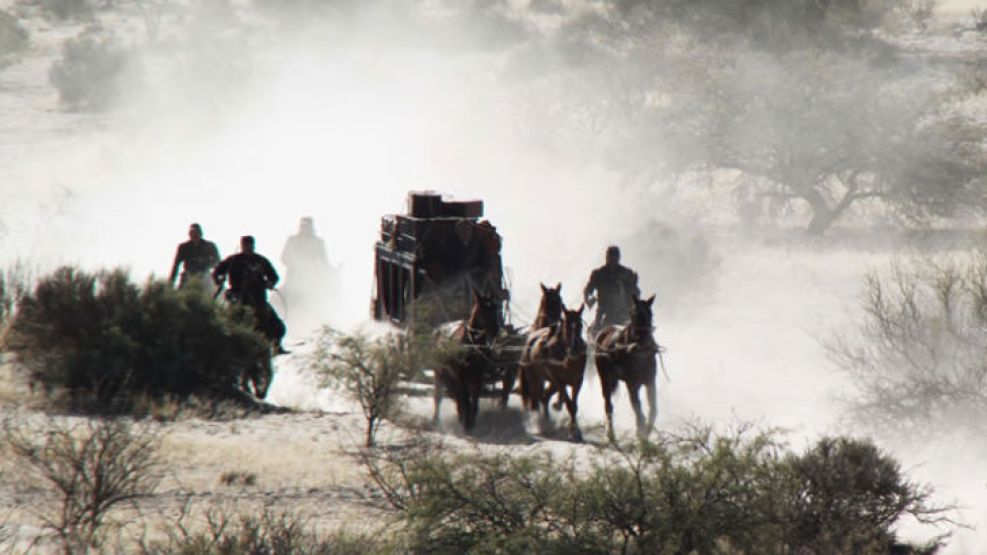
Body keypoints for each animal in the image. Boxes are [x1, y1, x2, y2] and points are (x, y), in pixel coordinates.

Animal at [430, 292, 502, 434]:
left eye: (496, 309)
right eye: (483, 310)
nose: (496, 331)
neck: (471, 344)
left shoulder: (478, 376)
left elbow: (473, 402)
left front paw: (470, 422)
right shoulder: (461, 376)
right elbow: (465, 400)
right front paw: (466, 423)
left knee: (456, 396)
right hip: (440, 372)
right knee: (439, 397)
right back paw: (436, 419)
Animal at [516, 302, 588, 440]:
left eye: (580, 325)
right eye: (566, 325)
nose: (576, 349)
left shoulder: (577, 380)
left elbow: (574, 405)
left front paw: (576, 431)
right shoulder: (559, 380)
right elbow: (569, 404)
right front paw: (573, 432)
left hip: (553, 382)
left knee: (544, 397)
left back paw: (547, 421)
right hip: (535, 377)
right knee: (535, 399)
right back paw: (541, 424)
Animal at [592, 296, 660, 444]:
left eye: (650, 314)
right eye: (632, 314)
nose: (641, 342)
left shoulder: (650, 382)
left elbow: (653, 408)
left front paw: (646, 431)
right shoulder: (632, 383)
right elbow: (637, 407)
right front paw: (641, 432)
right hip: (605, 379)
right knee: (608, 404)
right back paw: (611, 434)